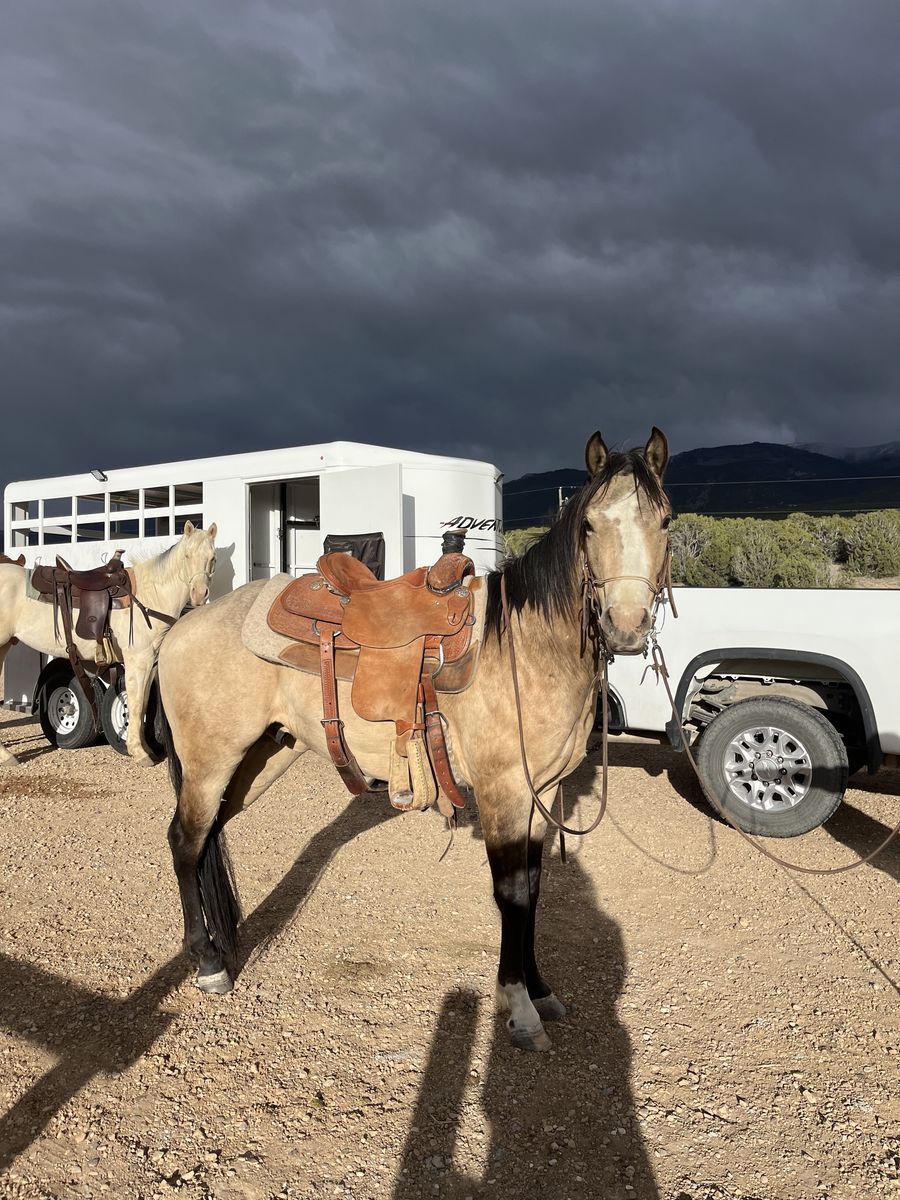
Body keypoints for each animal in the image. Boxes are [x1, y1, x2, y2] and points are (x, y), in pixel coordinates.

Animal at [0, 522, 218, 767]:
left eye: (212, 558)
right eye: (187, 556)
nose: (199, 594)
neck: (150, 595)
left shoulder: (150, 662)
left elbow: (142, 704)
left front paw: (145, 748)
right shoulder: (138, 659)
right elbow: (135, 704)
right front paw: (139, 752)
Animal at [157, 430, 673, 1051]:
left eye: (665, 520)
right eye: (591, 525)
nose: (627, 624)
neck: (527, 648)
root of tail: (183, 625)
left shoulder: (540, 793)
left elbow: (536, 887)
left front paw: (542, 990)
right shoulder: (502, 793)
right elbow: (512, 894)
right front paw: (519, 1008)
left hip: (258, 759)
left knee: (208, 836)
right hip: (210, 759)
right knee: (185, 842)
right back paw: (209, 963)